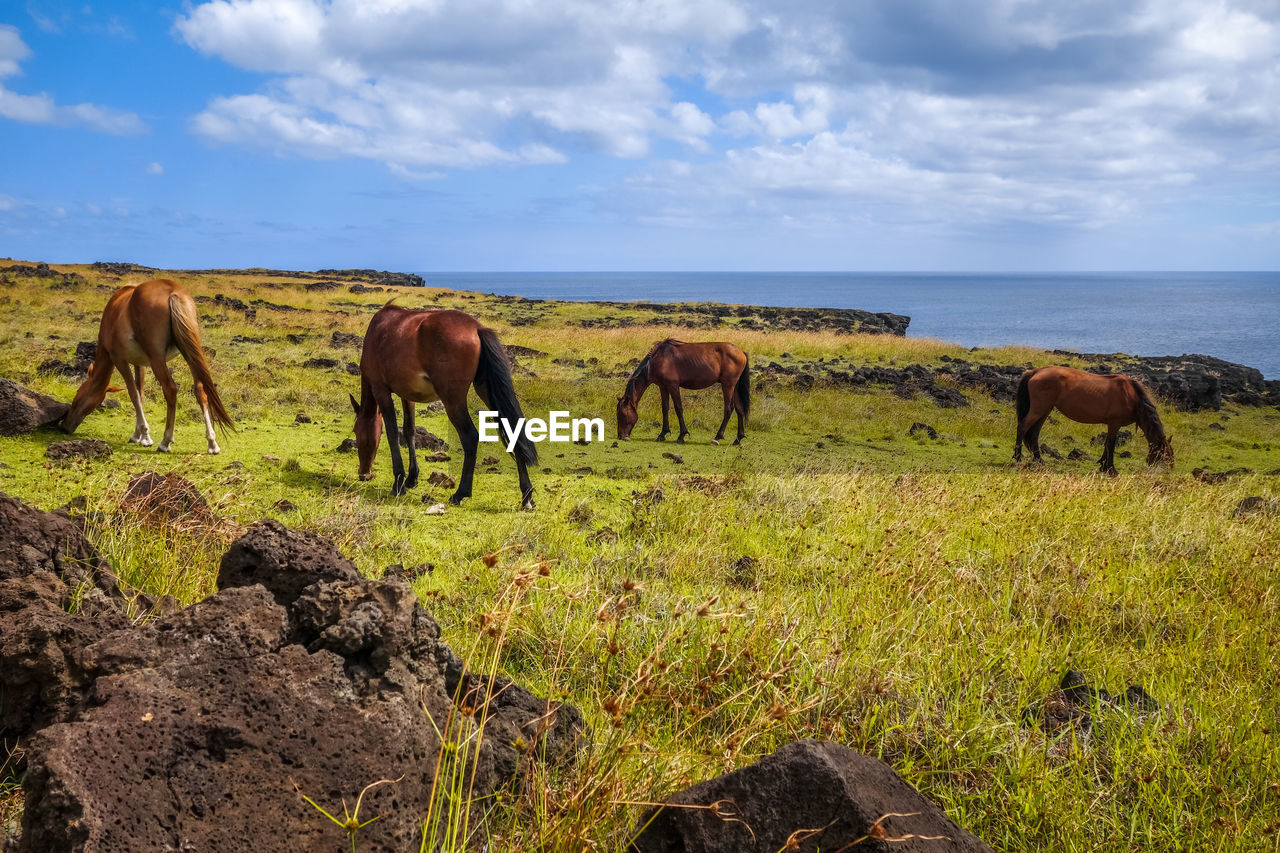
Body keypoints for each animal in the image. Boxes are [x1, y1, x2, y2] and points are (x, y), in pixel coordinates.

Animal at [62, 277, 234, 450]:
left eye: (77, 396)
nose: (64, 426)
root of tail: (172, 291)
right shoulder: (140, 364)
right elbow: (141, 394)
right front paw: (138, 434)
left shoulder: (119, 360)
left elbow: (134, 394)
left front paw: (144, 436)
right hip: (190, 352)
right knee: (200, 389)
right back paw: (212, 442)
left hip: (157, 358)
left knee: (170, 389)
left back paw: (165, 441)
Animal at [348, 303, 537, 507]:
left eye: (357, 432)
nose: (363, 474)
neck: (378, 332)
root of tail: (476, 328)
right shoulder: (407, 395)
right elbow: (409, 430)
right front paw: (412, 478)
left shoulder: (381, 390)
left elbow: (392, 433)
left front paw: (398, 483)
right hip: (486, 390)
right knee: (513, 432)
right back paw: (527, 495)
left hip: (452, 400)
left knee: (470, 437)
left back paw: (460, 493)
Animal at [611, 338, 747, 445]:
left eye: (622, 414)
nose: (621, 436)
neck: (658, 360)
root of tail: (742, 352)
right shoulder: (663, 387)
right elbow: (665, 408)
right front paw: (662, 434)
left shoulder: (673, 386)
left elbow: (678, 408)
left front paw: (682, 436)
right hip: (734, 386)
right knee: (739, 409)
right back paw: (738, 439)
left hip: (728, 385)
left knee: (728, 409)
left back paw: (717, 437)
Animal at [1013, 363, 1172, 473]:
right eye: (1163, 453)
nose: (1169, 468)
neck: (1131, 396)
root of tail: (1036, 371)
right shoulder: (1115, 423)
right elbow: (1111, 444)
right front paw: (1111, 469)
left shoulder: (1111, 425)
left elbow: (1107, 443)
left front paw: (1103, 465)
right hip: (1038, 409)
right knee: (1022, 427)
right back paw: (1017, 457)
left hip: (1044, 411)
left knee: (1034, 433)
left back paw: (1039, 459)